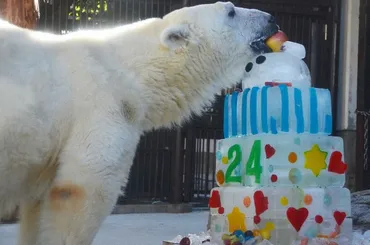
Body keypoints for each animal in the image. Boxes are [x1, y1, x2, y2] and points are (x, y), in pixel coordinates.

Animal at [0, 2, 278, 245]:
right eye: (231, 11)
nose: (271, 19)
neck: (132, 70)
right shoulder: (101, 109)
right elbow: (81, 188)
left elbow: (38, 206)